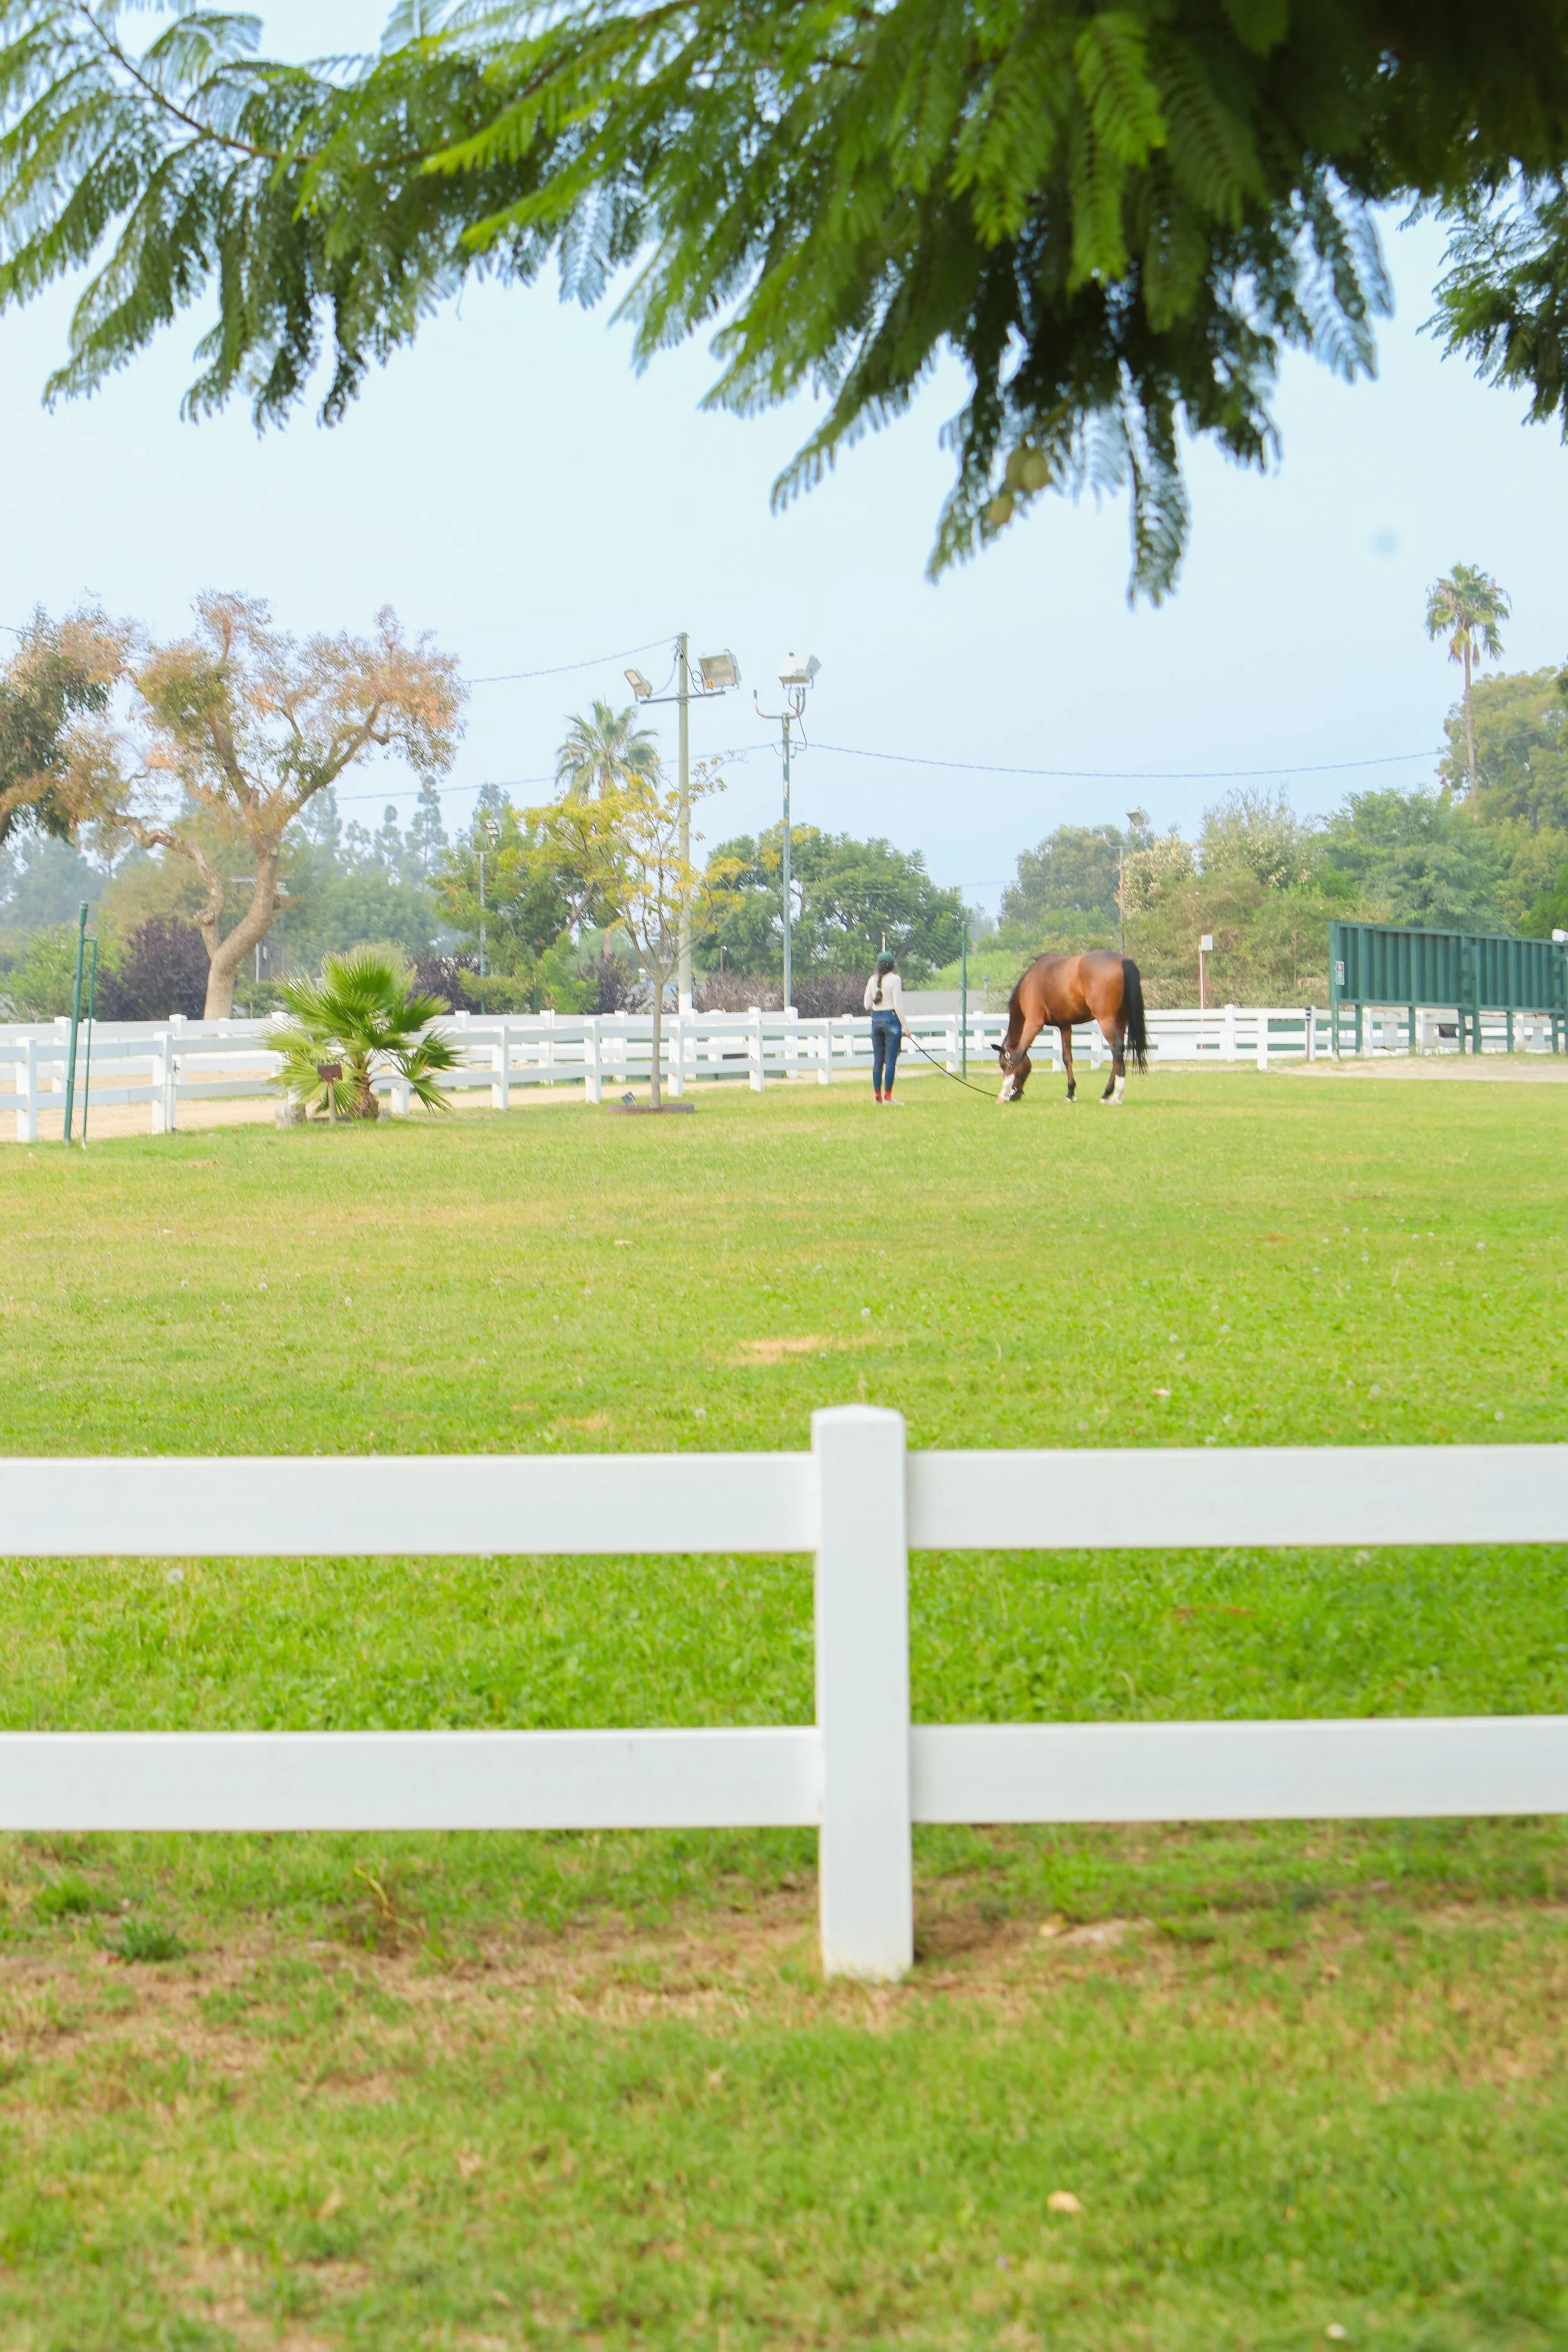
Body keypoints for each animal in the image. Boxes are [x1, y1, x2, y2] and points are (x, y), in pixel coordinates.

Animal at [995, 951, 1148, 1105]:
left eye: (1003, 1065)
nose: (1014, 1096)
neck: (1030, 982)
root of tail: (1122, 960)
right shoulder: (1065, 1026)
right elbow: (1067, 1057)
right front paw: (1070, 1093)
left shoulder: (1033, 1023)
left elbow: (1018, 1055)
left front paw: (1003, 1093)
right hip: (1120, 1020)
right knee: (1117, 1055)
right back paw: (1107, 1094)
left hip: (1106, 1020)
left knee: (1117, 1049)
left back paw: (1116, 1095)